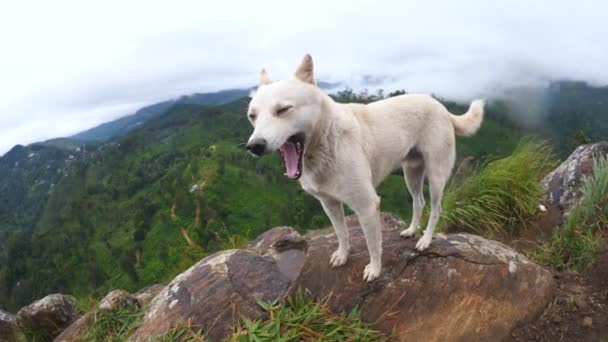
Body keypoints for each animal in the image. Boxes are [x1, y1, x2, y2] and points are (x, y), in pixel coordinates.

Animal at [245, 55, 482, 280]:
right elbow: (341, 233)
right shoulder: (329, 203)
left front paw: (375, 270)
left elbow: (372, 244)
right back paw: (412, 230)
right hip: (411, 173)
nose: (254, 146)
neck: (326, 142)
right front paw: (343, 254)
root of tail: (440, 106)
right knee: (418, 202)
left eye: (283, 109)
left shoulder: (367, 206)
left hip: (436, 176)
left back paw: (425, 240)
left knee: (435, 208)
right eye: (252, 116)